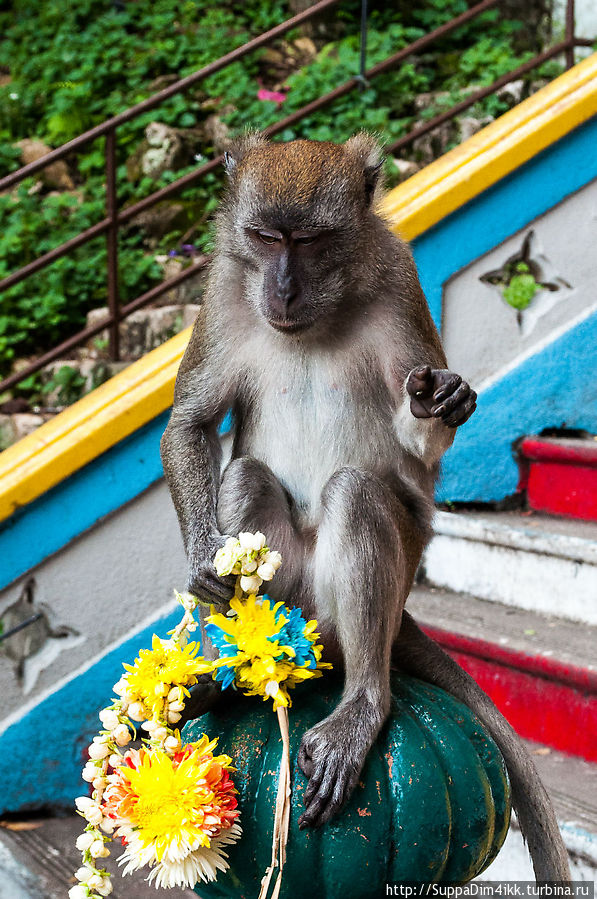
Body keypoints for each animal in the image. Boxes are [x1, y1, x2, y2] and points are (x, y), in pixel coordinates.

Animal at [161, 134, 572, 880]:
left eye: (312, 240)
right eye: (265, 238)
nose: (282, 287)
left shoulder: (400, 280)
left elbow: (416, 453)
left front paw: (440, 403)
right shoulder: (225, 291)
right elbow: (192, 424)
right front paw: (205, 556)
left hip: (370, 587)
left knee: (356, 495)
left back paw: (361, 705)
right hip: (290, 597)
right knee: (244, 480)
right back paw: (244, 681)